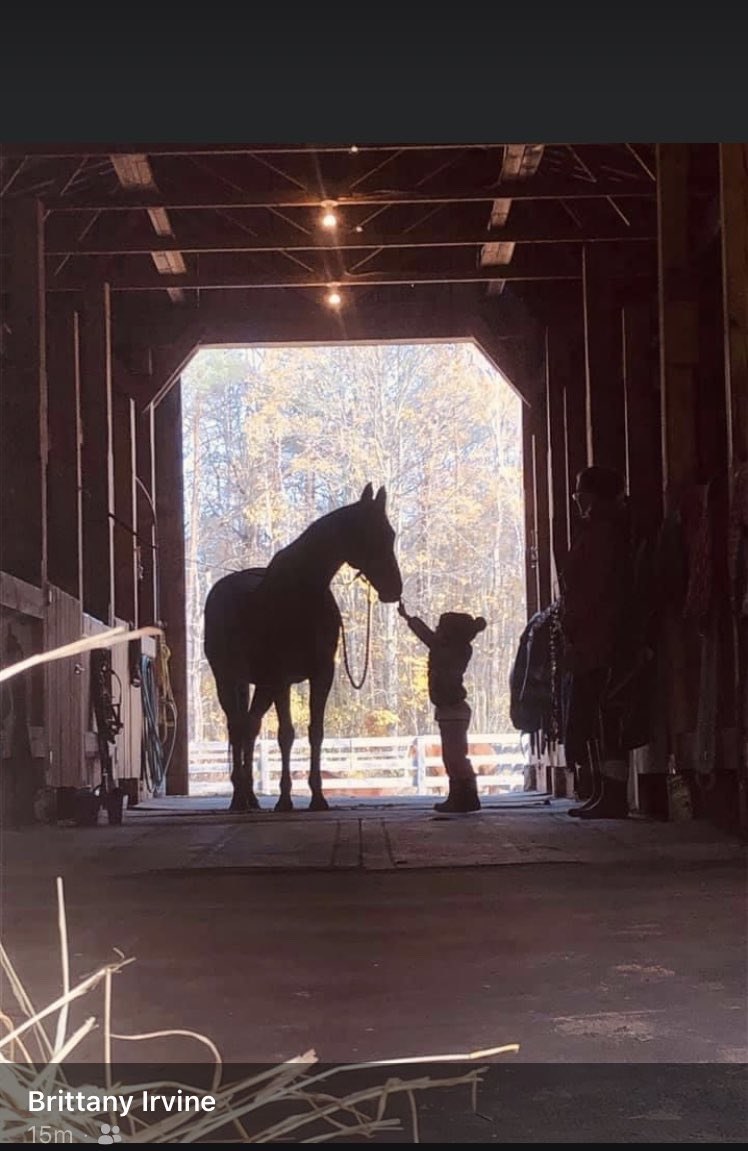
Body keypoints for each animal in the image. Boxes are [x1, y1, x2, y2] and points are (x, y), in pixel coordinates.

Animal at [204, 484, 402, 812]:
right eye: (369, 533)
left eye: (391, 534)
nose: (394, 589)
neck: (300, 594)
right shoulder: (282, 678)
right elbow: (286, 735)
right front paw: (285, 799)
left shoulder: (322, 674)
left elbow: (315, 733)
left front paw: (318, 797)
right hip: (229, 679)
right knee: (237, 727)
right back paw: (238, 798)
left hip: (260, 685)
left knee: (250, 727)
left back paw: (251, 797)